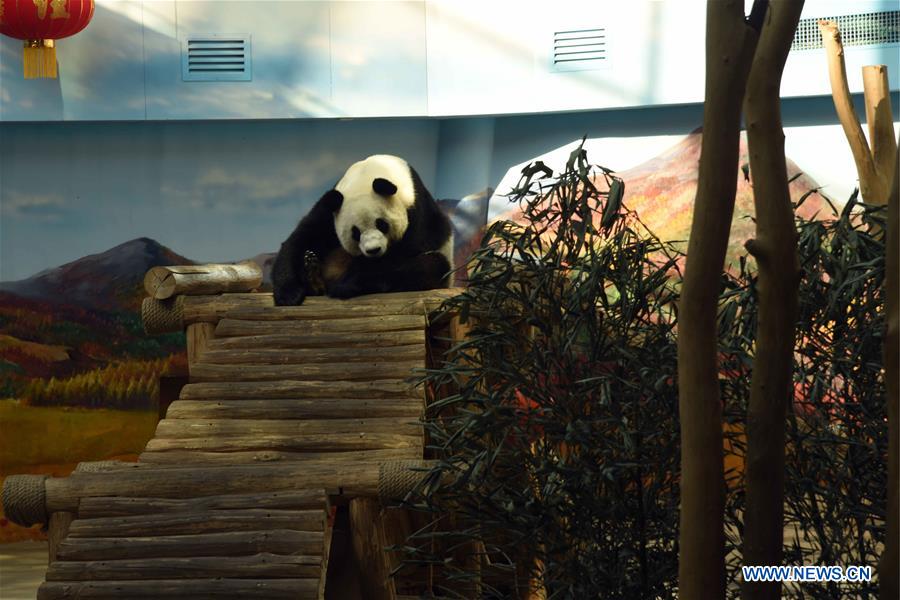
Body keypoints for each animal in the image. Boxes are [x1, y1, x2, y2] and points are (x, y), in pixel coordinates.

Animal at [272, 154, 454, 306]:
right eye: (355, 233)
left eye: (382, 224)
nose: (373, 250)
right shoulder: (330, 210)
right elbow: (303, 237)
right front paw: (288, 293)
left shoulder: (417, 209)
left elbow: (404, 252)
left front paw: (346, 282)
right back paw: (313, 277)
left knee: (429, 266)